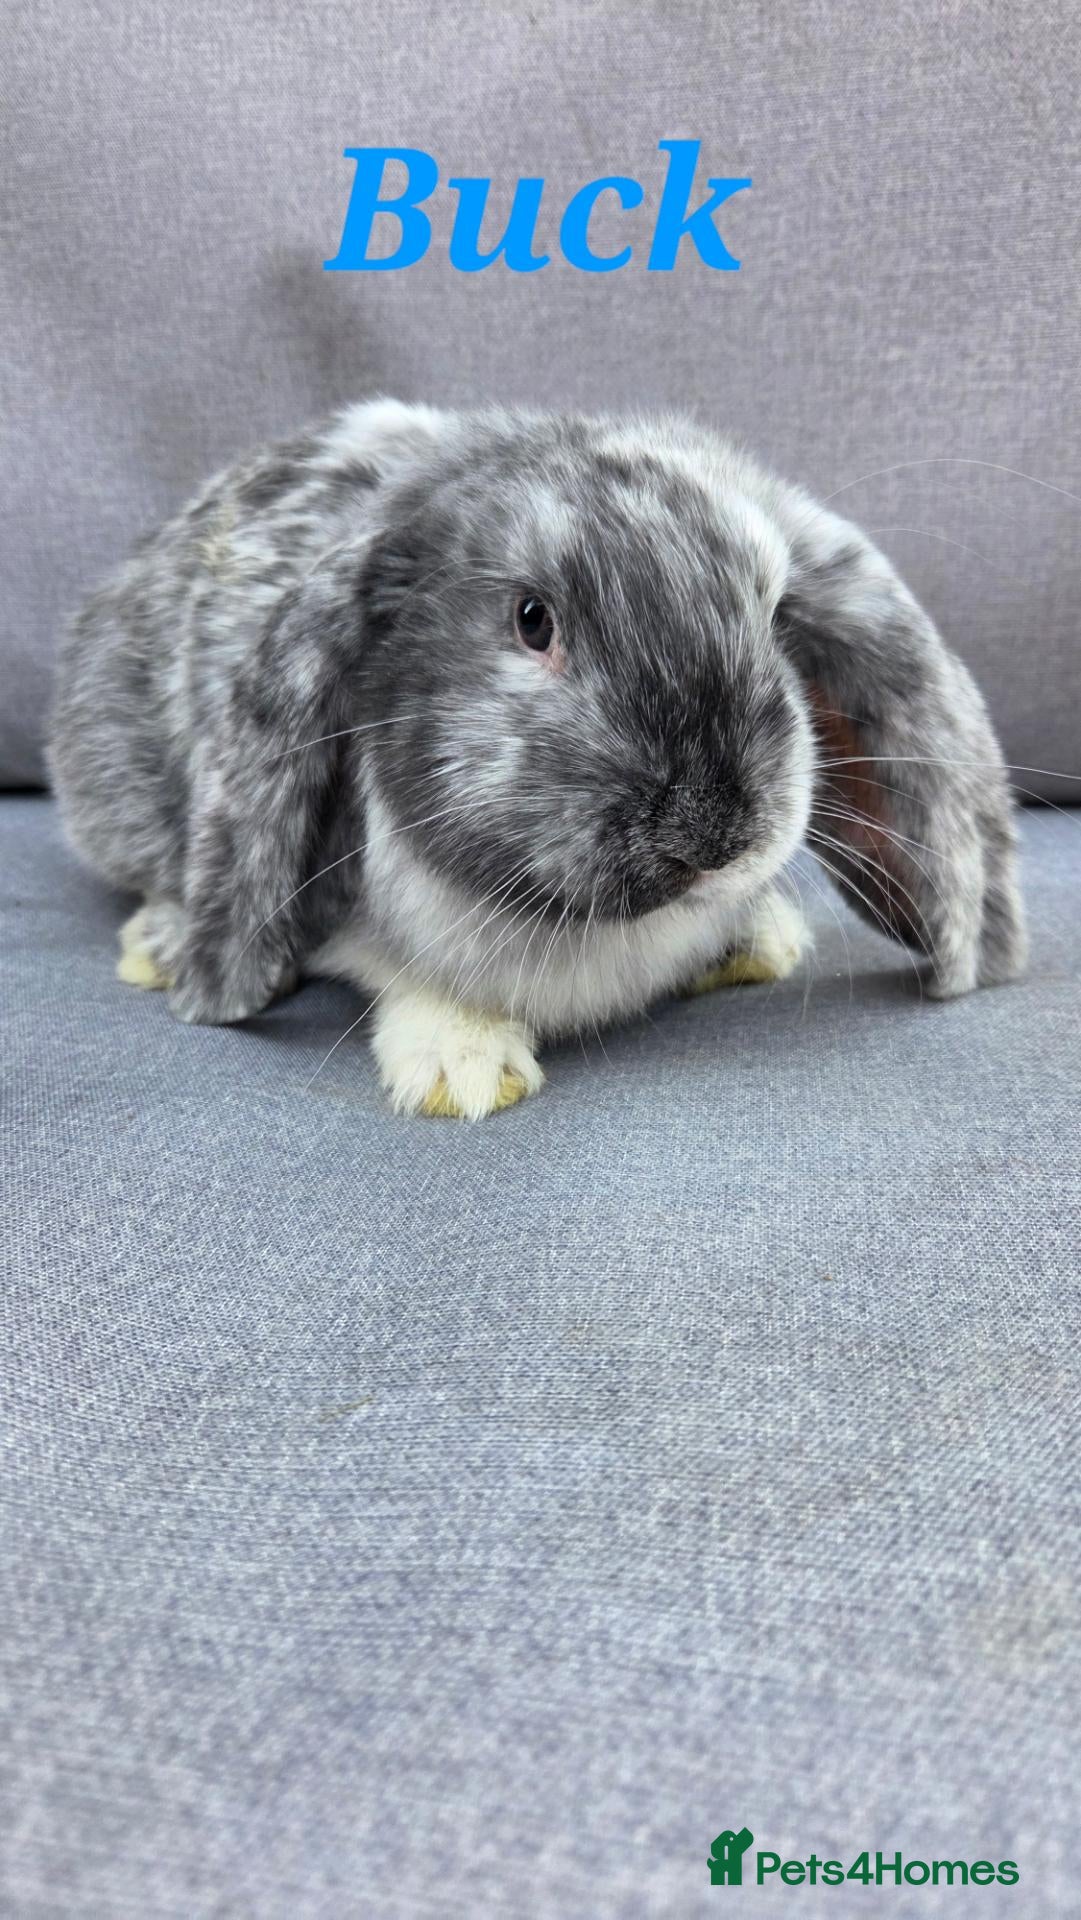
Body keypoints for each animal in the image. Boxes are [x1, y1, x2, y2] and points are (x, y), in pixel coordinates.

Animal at [49, 398, 1027, 1117]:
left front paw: (756, 940)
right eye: (531, 619)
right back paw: (158, 942)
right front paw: (463, 1069)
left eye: (772, 610)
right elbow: (397, 971)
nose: (714, 834)